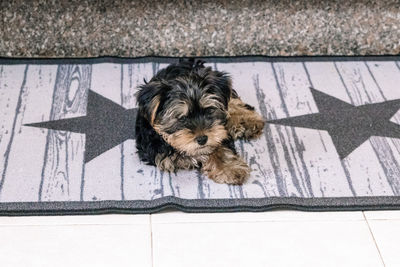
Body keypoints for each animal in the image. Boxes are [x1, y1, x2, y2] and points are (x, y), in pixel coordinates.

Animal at [135, 58, 266, 184]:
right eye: (182, 118)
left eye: (209, 111)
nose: (202, 139)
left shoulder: (218, 132)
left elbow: (218, 145)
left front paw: (230, 168)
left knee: (232, 102)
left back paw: (248, 122)